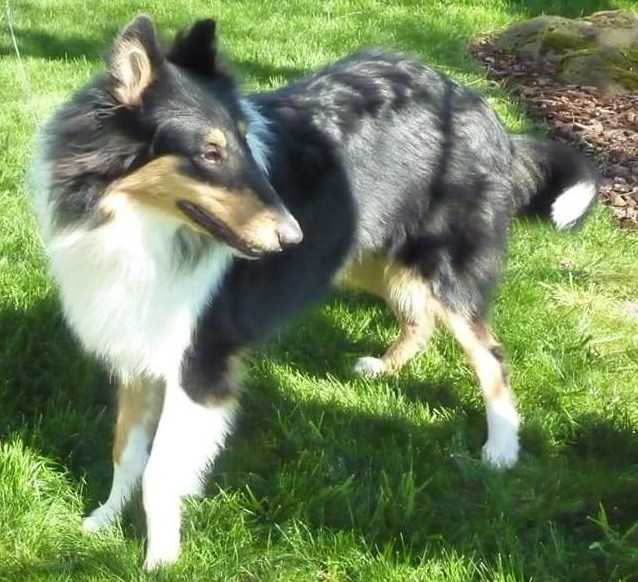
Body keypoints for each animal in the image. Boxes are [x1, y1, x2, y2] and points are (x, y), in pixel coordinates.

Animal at [30, 16, 600, 572]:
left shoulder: (200, 360)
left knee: (490, 355)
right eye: (210, 152)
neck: (140, 225)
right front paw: (101, 523)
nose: (292, 237)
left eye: (244, 144)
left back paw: (501, 449)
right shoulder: (136, 345)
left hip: (442, 270)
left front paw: (160, 558)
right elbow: (126, 452)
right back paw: (384, 367)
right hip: (362, 254)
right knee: (420, 317)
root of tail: (488, 114)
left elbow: (160, 470)